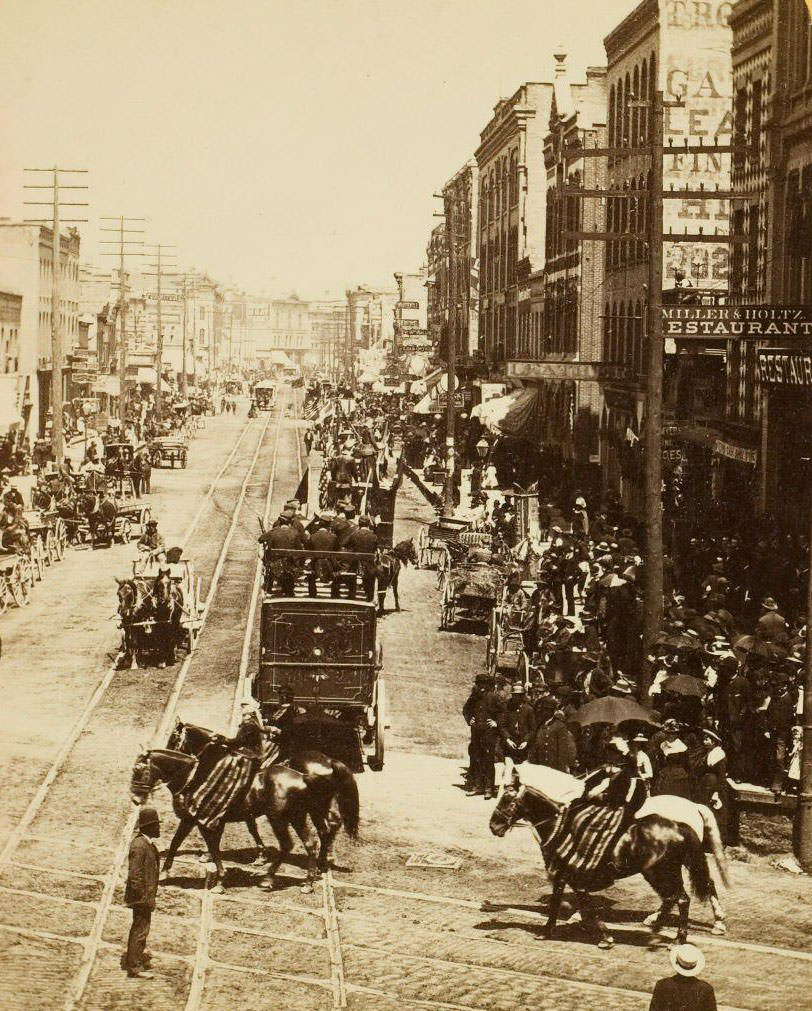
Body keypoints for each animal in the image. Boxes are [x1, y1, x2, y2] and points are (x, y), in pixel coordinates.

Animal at [131, 748, 323, 889]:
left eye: (138, 770)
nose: (134, 799)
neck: (194, 779)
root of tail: (303, 777)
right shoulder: (190, 819)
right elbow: (176, 843)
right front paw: (165, 872)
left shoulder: (206, 822)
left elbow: (214, 848)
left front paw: (220, 881)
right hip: (297, 817)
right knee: (309, 843)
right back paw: (308, 883)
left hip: (278, 819)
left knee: (287, 844)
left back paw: (268, 879)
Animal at [165, 715, 357, 873]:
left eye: (173, 739)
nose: (166, 752)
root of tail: (329, 761)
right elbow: (252, 828)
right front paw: (260, 855)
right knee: (329, 826)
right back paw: (323, 861)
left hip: (314, 808)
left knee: (327, 827)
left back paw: (323, 861)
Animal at [489, 772, 732, 946]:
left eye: (508, 799)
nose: (494, 826)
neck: (563, 824)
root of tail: (683, 821)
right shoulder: (567, 875)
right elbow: (570, 901)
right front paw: (556, 928)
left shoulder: (569, 872)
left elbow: (579, 903)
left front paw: (601, 935)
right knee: (682, 895)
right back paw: (666, 925)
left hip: (661, 871)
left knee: (681, 897)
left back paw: (682, 934)